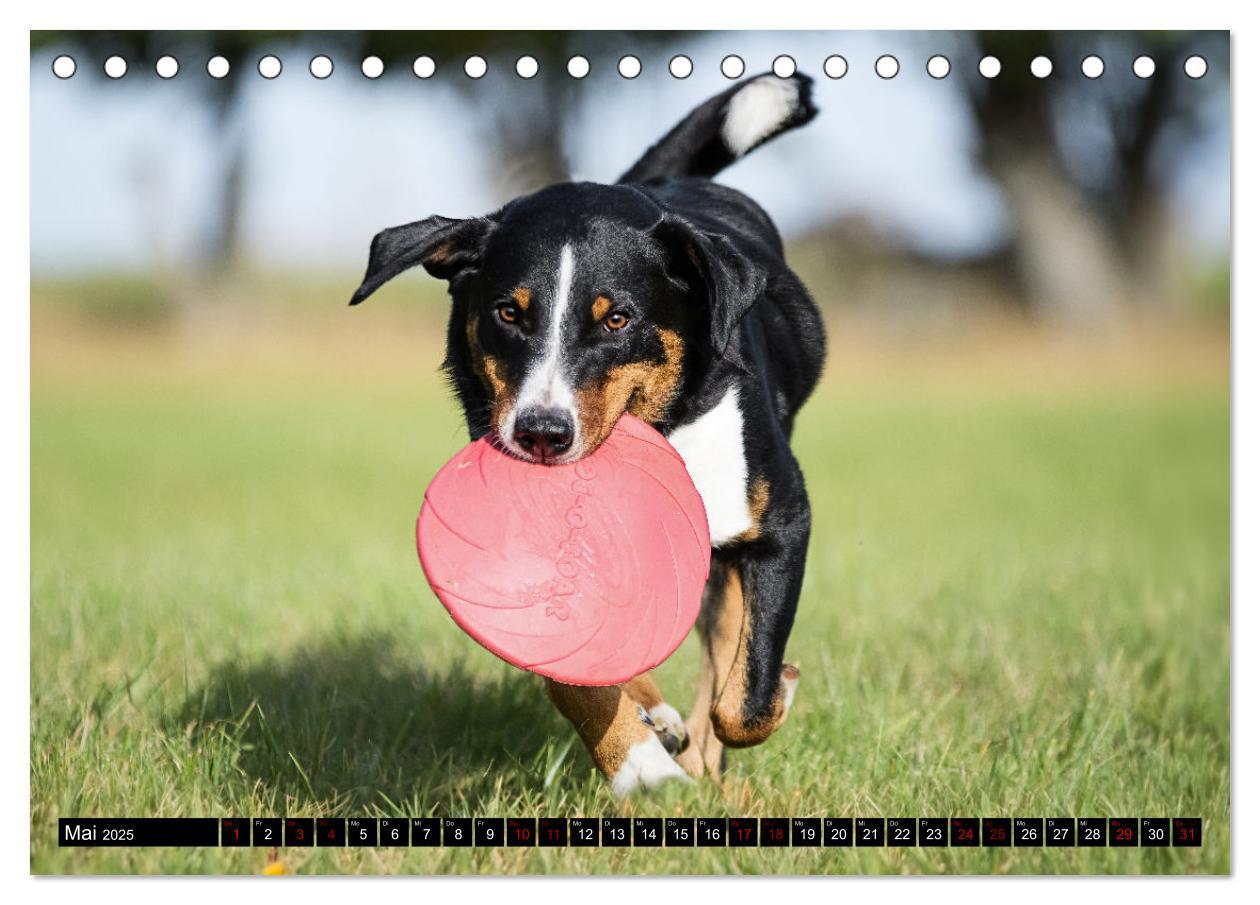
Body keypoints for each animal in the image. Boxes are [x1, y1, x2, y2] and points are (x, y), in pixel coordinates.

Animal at [352, 69, 826, 796]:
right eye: (508, 313)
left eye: (617, 319)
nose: (542, 432)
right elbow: (571, 674)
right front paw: (637, 758)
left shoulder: (780, 520)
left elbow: (744, 697)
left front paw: (765, 699)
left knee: (724, 653)